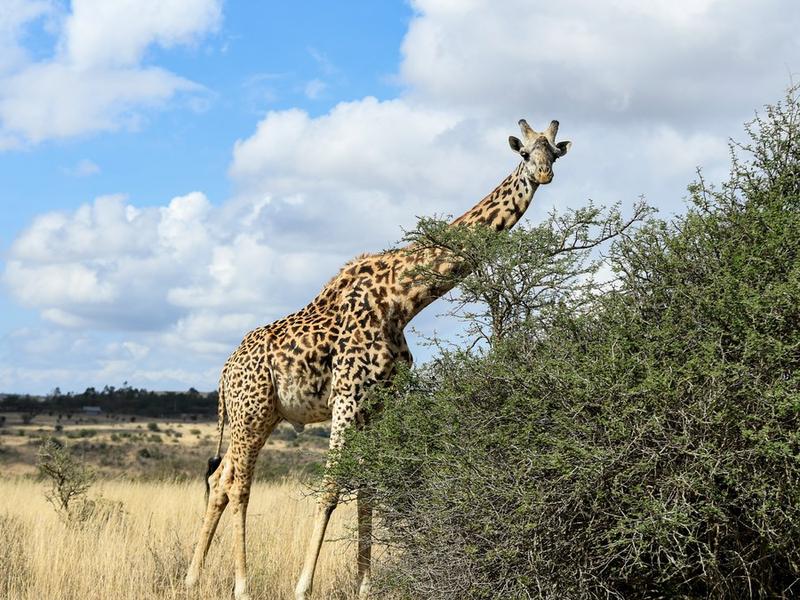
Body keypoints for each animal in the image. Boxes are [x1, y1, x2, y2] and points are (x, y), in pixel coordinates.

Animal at [183, 118, 568, 600]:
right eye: (525, 154)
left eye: (554, 153)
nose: (544, 175)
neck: (402, 300)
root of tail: (223, 372)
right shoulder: (347, 397)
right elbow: (331, 487)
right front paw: (303, 587)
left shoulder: (379, 405)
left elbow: (370, 486)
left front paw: (366, 585)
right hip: (250, 414)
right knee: (238, 486)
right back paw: (241, 585)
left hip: (257, 415)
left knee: (219, 481)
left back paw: (192, 578)